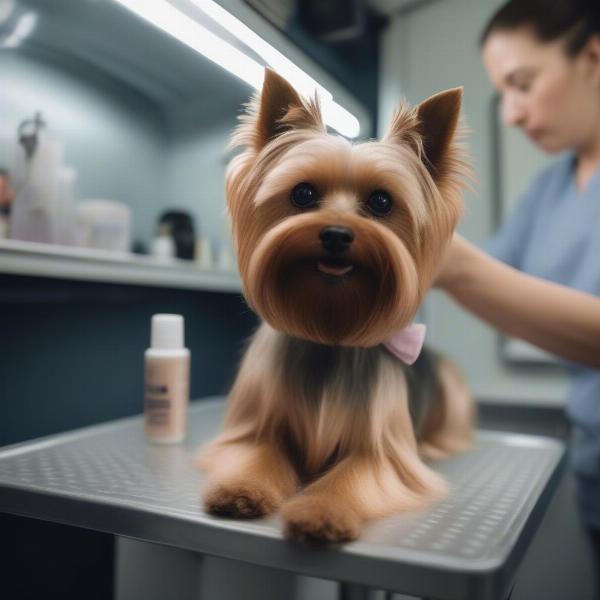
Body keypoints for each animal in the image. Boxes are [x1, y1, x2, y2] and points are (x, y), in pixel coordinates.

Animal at [199, 69, 476, 544]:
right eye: (303, 194)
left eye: (381, 201)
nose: (336, 233)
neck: (330, 328)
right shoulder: (257, 429)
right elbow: (258, 452)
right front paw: (240, 490)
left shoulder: (382, 452)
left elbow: (352, 475)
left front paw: (321, 512)